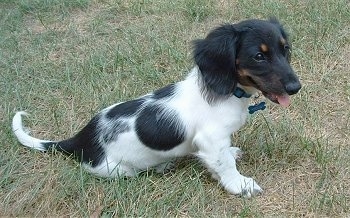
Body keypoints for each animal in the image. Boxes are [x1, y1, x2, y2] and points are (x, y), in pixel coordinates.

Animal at [10, 17, 300, 197]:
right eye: (259, 56)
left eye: (285, 49)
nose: (295, 87)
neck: (229, 92)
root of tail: (79, 140)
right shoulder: (211, 139)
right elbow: (224, 165)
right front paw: (240, 185)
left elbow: (225, 156)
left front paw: (233, 155)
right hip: (116, 170)